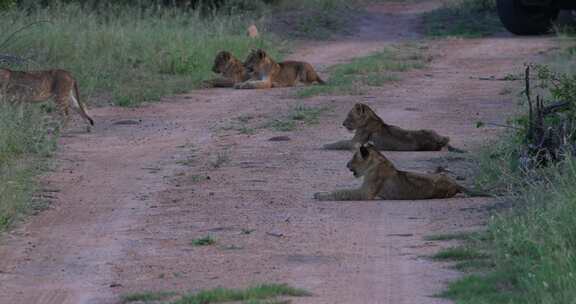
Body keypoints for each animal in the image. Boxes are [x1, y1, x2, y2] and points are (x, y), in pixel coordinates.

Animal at [316, 143, 482, 201]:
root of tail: (456, 184)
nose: (346, 165)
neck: (377, 160)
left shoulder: (366, 194)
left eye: (353, 157)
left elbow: (342, 192)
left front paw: (320, 195)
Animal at [322, 103, 466, 152]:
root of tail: (439, 141)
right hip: (430, 129)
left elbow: (339, 143)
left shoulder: (355, 142)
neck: (370, 118)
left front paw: (323, 145)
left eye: (349, 116)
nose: (343, 124)